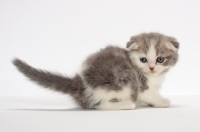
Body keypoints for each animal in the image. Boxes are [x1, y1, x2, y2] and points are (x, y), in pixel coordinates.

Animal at [12, 32, 180, 110]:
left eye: (160, 59)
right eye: (143, 60)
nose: (151, 68)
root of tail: (80, 83)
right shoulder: (141, 84)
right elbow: (150, 94)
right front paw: (161, 101)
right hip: (124, 78)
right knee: (98, 104)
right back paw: (125, 104)